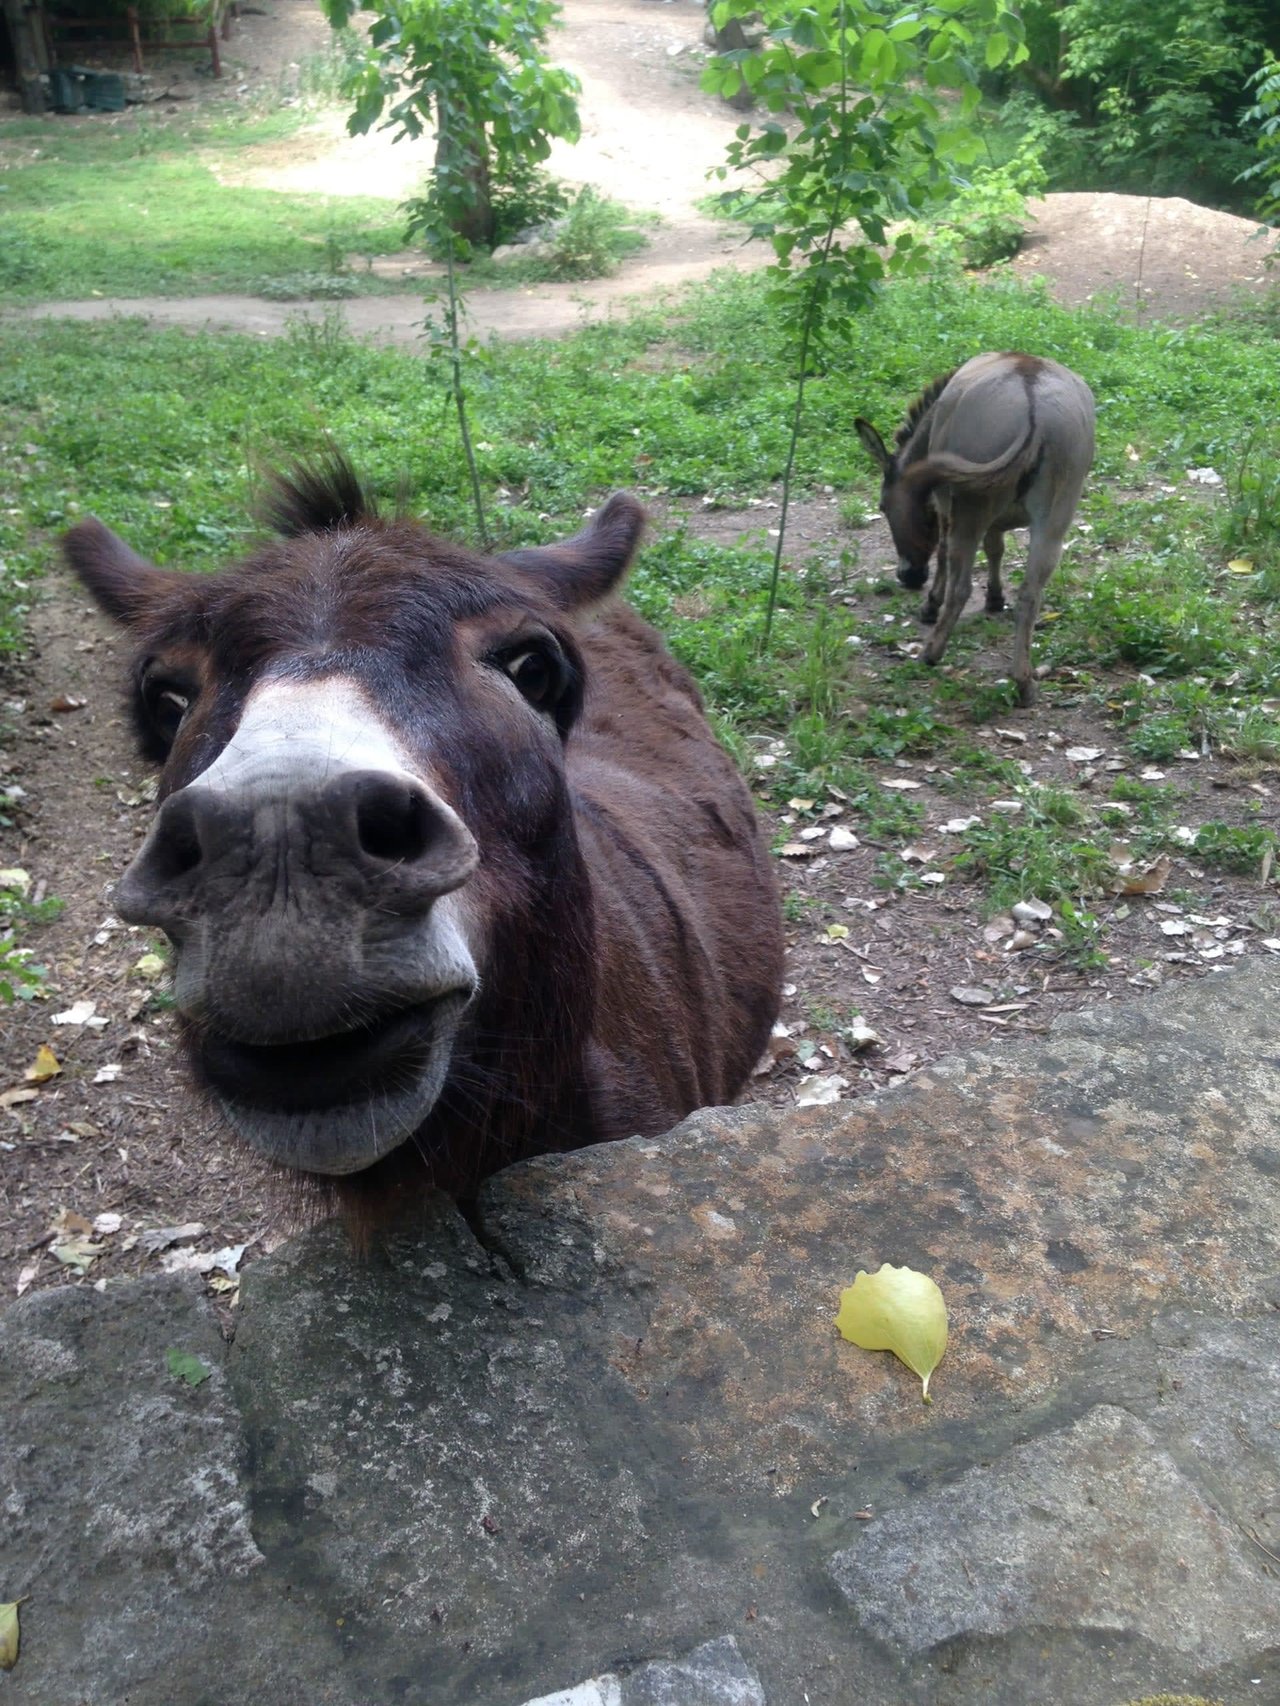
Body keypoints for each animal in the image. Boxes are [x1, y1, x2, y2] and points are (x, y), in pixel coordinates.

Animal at [855, 352, 1096, 705]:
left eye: (883, 507)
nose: (909, 577)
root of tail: (1032, 398)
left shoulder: (945, 504)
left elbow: (944, 551)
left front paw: (931, 604)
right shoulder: (996, 519)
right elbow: (996, 548)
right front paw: (995, 598)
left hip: (971, 511)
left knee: (961, 586)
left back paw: (931, 653)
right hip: (1054, 520)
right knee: (1030, 594)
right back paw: (1023, 682)